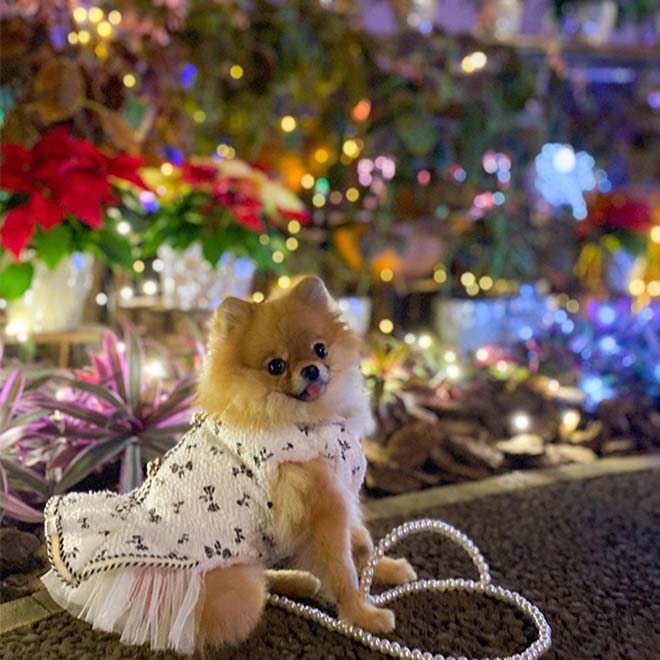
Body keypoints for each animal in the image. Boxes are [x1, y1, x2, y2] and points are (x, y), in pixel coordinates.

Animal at [193, 278, 416, 648]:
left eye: (320, 349)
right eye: (276, 366)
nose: (311, 369)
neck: (307, 419)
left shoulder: (341, 492)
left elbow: (362, 545)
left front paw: (385, 569)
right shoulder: (325, 505)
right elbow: (342, 568)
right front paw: (362, 616)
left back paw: (299, 580)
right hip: (234, 592)